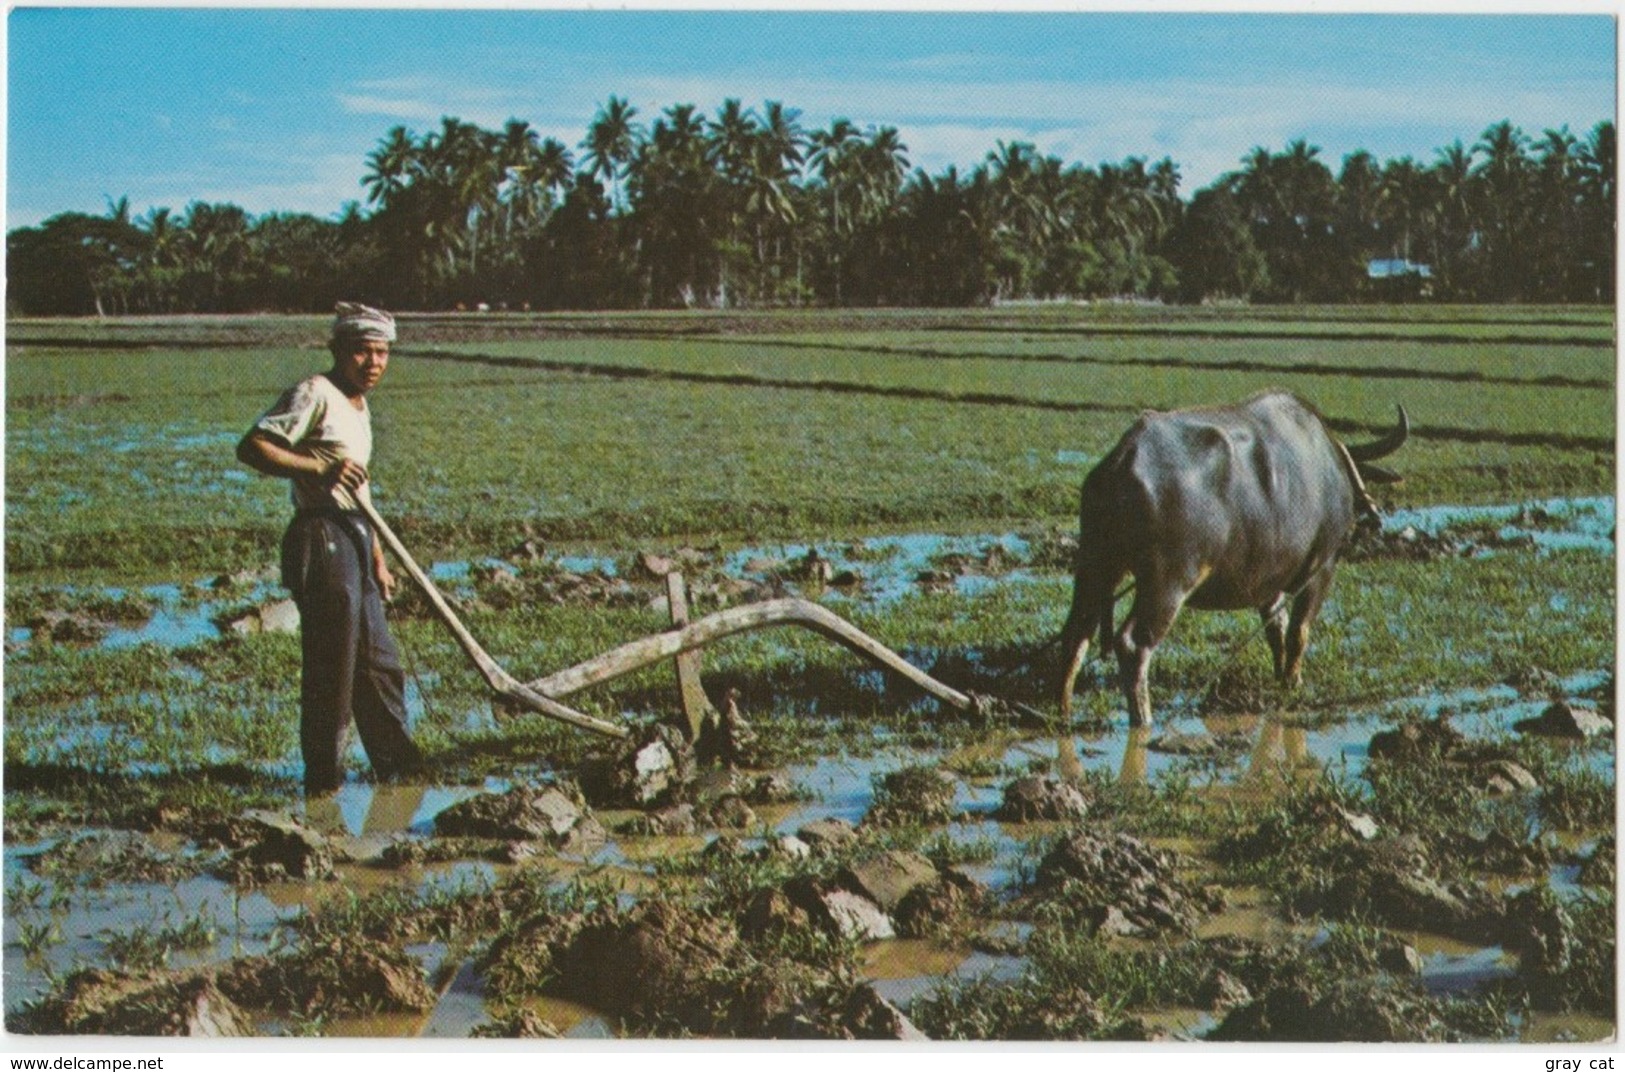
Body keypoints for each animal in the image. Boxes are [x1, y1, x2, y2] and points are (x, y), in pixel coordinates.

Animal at [1059, 389, 1404, 724]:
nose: (1374, 517)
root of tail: (1124, 460)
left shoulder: (1269, 580)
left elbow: (1276, 629)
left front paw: (1280, 678)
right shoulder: (1321, 567)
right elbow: (1299, 632)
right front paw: (1293, 683)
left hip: (1096, 564)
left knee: (1076, 634)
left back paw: (1063, 709)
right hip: (1167, 582)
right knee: (1134, 645)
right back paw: (1142, 718)